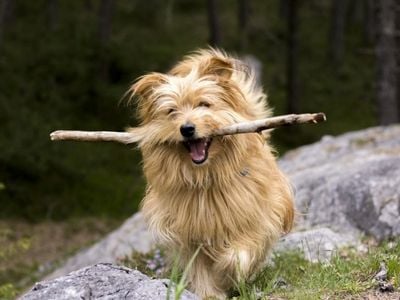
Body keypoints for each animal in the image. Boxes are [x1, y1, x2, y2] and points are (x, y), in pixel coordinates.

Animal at [128, 48, 294, 298]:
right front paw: (210, 293)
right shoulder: (187, 232)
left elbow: (237, 256)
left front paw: (227, 273)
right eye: (172, 112)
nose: (187, 129)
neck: (205, 177)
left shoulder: (254, 218)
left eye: (204, 104)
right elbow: (198, 267)